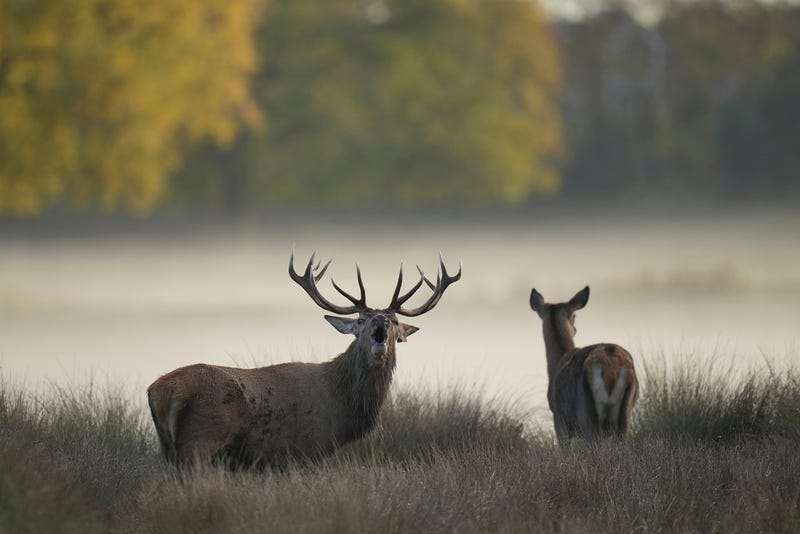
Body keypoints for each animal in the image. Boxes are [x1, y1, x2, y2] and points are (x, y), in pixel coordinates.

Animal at [147, 250, 460, 468]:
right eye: (361, 320)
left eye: (394, 321)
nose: (380, 322)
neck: (342, 403)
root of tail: (160, 390)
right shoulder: (308, 448)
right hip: (199, 440)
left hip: (168, 448)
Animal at [529, 286, 638, 443]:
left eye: (574, 316)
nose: (575, 329)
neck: (556, 362)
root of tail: (611, 368)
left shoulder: (559, 418)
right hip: (625, 413)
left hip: (586, 412)